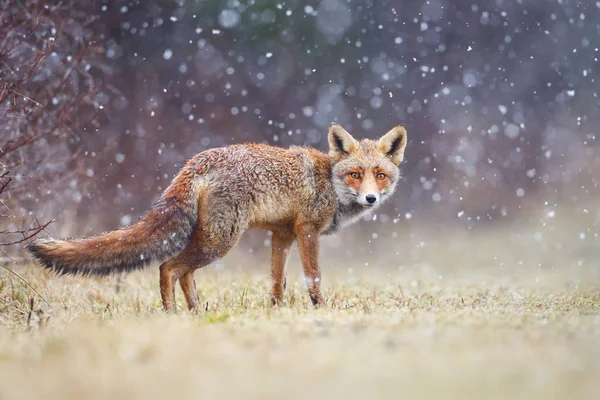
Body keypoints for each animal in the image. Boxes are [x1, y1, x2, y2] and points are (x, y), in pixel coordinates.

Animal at [25, 123, 406, 310]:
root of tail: (200, 159)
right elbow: (313, 277)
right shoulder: (306, 229)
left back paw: (195, 311)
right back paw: (171, 314)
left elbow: (277, 281)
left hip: (213, 237)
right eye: (355, 174)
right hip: (221, 239)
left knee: (184, 273)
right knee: (169, 267)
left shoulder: (282, 234)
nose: (371, 198)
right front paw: (320, 310)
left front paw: (277, 311)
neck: (329, 180)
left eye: (380, 175)